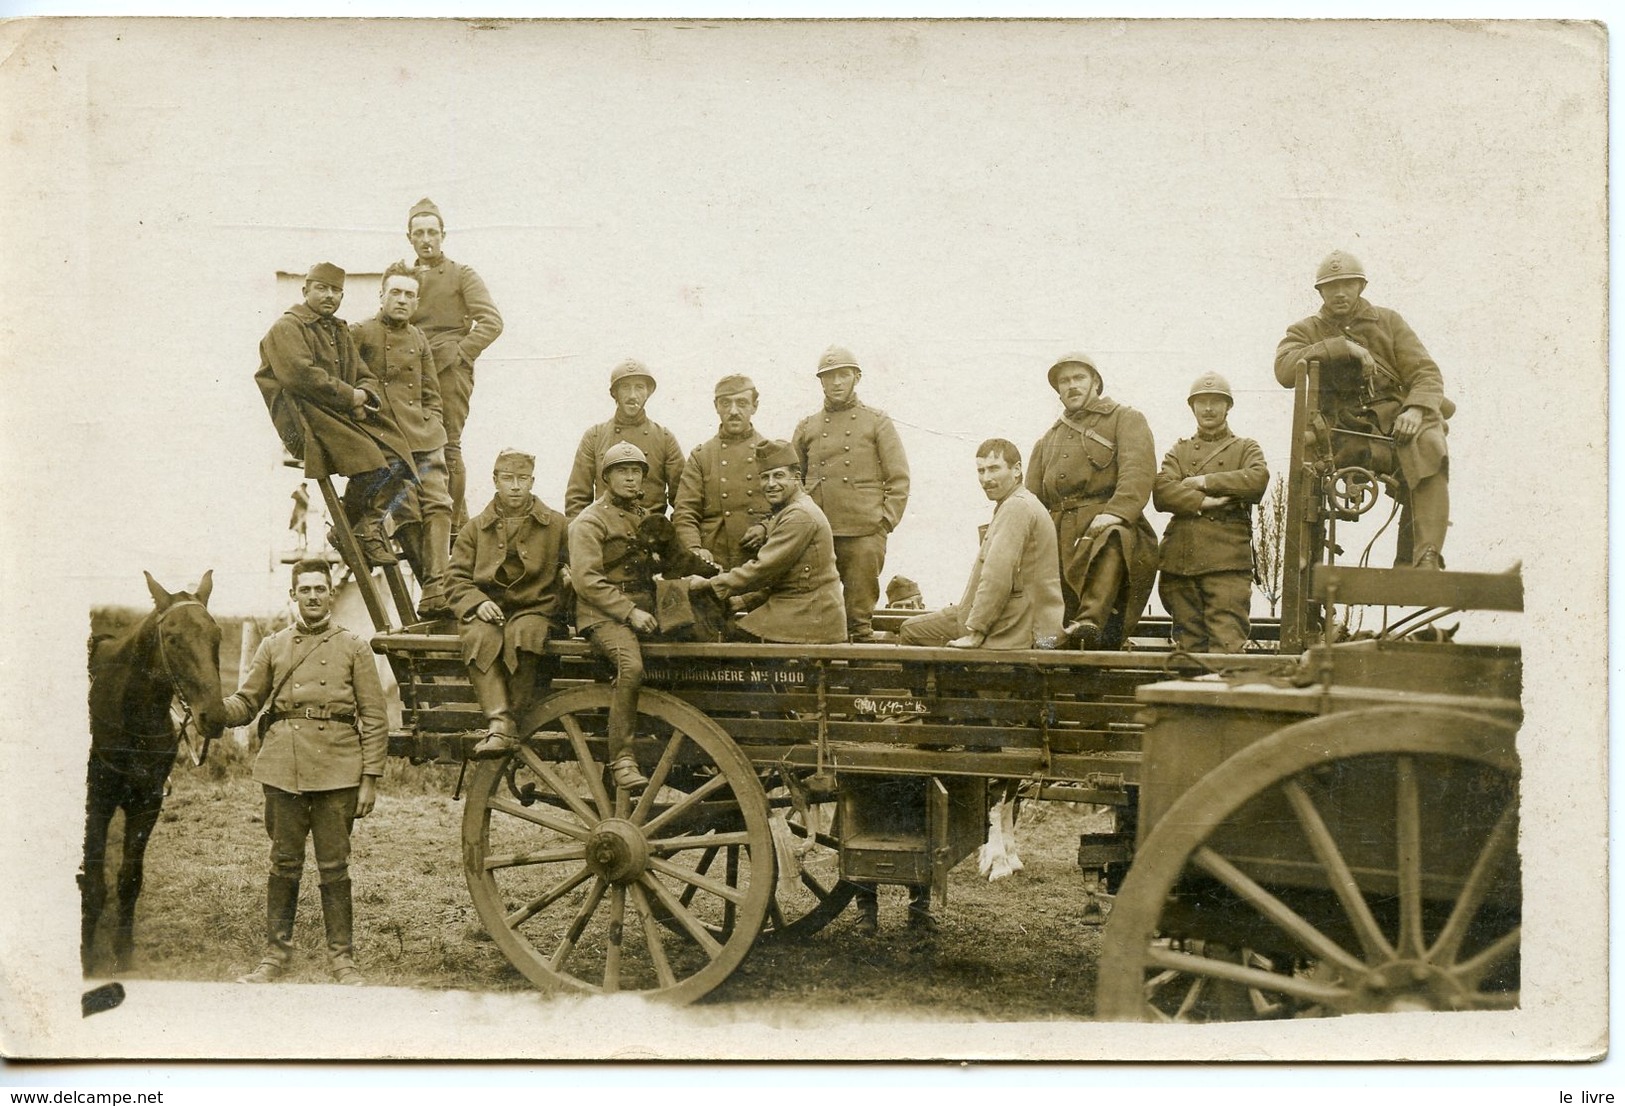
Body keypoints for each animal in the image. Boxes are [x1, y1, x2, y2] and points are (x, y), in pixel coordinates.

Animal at [82, 574, 227, 967]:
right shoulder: (97, 804)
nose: (214, 716)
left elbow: (129, 880)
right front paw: (87, 956)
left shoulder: (146, 803)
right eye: (173, 638)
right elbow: (93, 885)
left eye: (217, 635)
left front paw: (124, 955)